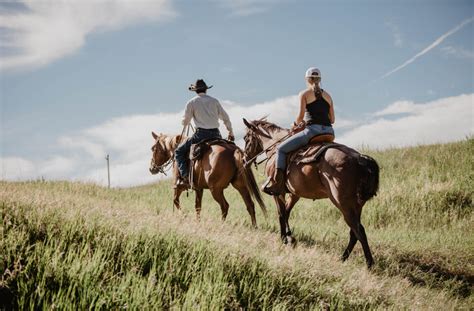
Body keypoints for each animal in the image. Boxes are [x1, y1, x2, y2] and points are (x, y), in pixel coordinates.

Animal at [243, 119, 380, 268]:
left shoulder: (277, 193)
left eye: (245, 138)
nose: (244, 160)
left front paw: (284, 238)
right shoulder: (294, 194)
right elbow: (287, 212)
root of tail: (360, 158)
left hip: (343, 204)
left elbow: (281, 214)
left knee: (359, 231)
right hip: (357, 205)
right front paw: (290, 237)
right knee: (354, 232)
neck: (275, 146)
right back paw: (343, 258)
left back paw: (369, 264)